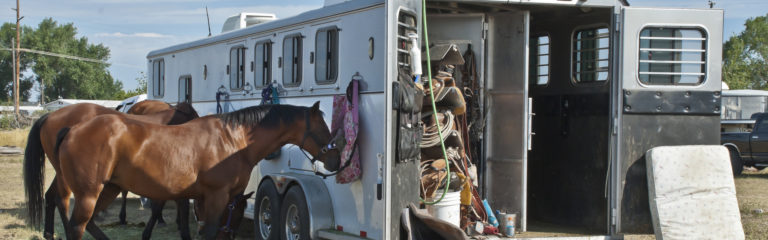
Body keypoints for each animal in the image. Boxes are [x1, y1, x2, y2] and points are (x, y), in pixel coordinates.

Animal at [22, 100, 200, 239]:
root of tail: (49, 116)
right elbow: (165, 205)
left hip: (64, 173)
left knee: (50, 195)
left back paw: (49, 233)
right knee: (62, 200)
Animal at [51, 102, 340, 239]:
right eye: (322, 127)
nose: (336, 158)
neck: (234, 140)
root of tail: (72, 129)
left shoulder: (206, 198)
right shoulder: (216, 196)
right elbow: (211, 231)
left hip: (109, 188)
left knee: (88, 224)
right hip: (89, 193)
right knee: (76, 226)